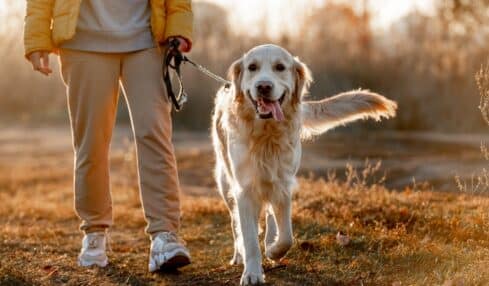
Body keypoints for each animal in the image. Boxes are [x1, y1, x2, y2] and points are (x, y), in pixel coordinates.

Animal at [211, 43, 396, 284]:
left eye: (280, 67)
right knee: (235, 223)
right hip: (226, 183)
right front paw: (252, 272)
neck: (267, 135)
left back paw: (269, 241)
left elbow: (287, 236)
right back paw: (238, 255)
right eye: (252, 67)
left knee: (270, 216)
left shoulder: (283, 183)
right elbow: (249, 236)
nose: (263, 86)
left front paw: (273, 251)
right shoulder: (245, 188)